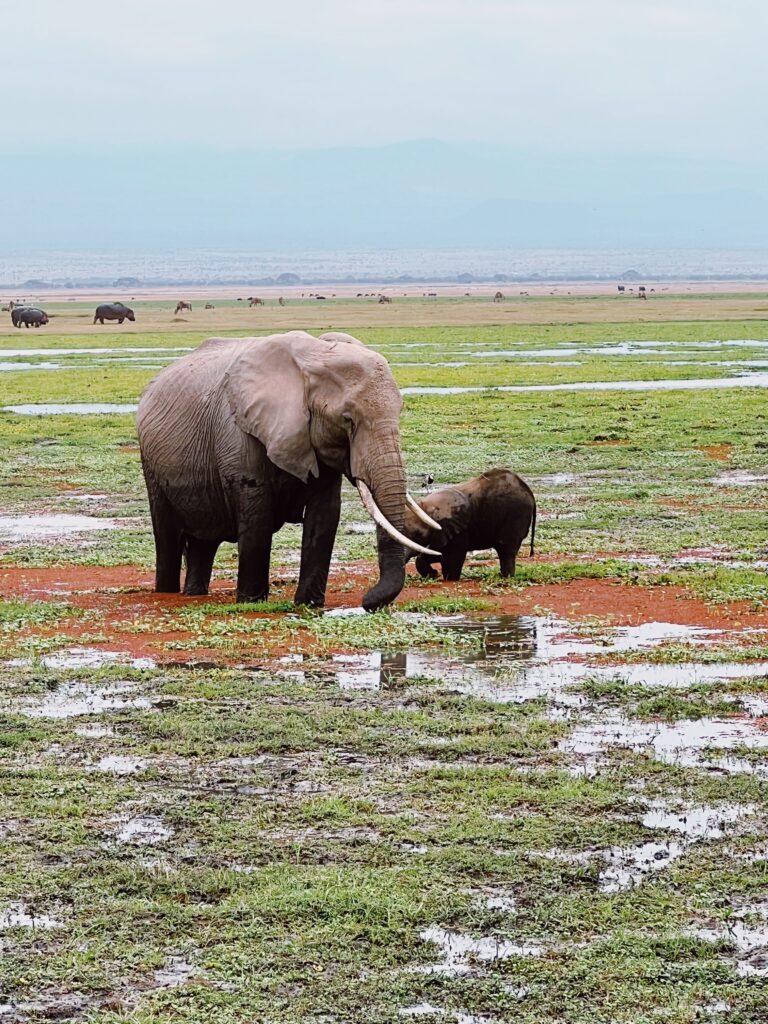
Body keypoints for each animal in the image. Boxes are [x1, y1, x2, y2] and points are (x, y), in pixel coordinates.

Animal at [136, 331, 438, 610]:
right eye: (347, 420)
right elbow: (257, 517)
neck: (313, 358)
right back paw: (167, 592)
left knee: (203, 541)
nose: (367, 601)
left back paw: (194, 594)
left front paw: (309, 604)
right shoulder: (239, 434)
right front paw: (251, 603)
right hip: (151, 465)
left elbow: (325, 515)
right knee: (167, 536)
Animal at [405, 468, 536, 581]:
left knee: (506, 549)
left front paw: (448, 579)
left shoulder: (459, 529)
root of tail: (529, 491)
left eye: (418, 536)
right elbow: (438, 553)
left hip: (515, 515)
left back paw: (505, 577)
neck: (426, 507)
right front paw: (434, 574)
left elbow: (453, 557)